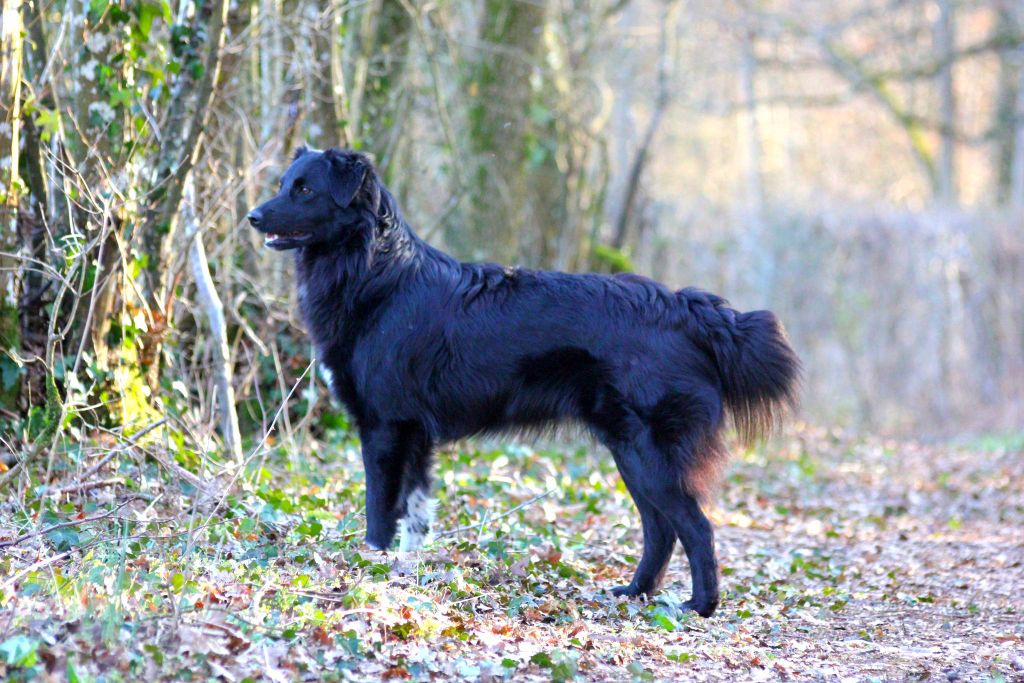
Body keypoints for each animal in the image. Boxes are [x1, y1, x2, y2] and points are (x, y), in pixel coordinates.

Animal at [247, 147, 798, 618]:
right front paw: (404, 574)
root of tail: (689, 309)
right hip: (629, 450)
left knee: (696, 528)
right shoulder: (415, 436)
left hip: (648, 452)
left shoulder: (385, 428)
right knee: (660, 529)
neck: (376, 274)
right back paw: (635, 592)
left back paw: (699, 606)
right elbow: (415, 517)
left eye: (304, 190)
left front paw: (370, 569)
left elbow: (379, 513)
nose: (252, 217)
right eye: (282, 184)